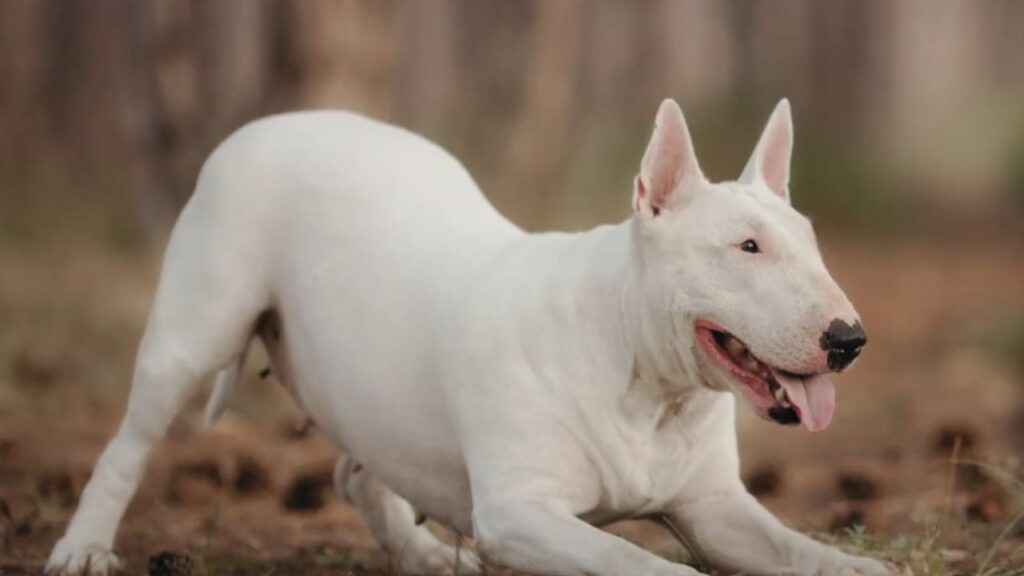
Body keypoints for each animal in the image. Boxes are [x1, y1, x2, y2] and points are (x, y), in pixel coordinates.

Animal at [46, 99, 888, 573]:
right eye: (747, 247)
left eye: (809, 241)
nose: (849, 340)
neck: (643, 379)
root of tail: (278, 120)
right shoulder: (520, 515)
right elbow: (644, 564)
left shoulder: (714, 507)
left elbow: (807, 555)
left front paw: (860, 567)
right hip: (195, 327)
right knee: (129, 443)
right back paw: (83, 547)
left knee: (360, 471)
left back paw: (421, 554)